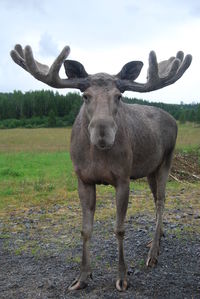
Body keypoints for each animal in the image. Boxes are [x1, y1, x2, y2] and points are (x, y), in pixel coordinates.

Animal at [10, 45, 192, 292]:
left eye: (119, 96)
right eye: (85, 96)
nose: (103, 133)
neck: (97, 158)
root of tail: (172, 118)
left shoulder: (123, 178)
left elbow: (119, 228)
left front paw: (122, 277)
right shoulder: (83, 179)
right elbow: (85, 229)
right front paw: (82, 278)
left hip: (167, 159)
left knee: (162, 200)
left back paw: (153, 254)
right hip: (149, 169)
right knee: (156, 199)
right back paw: (157, 238)